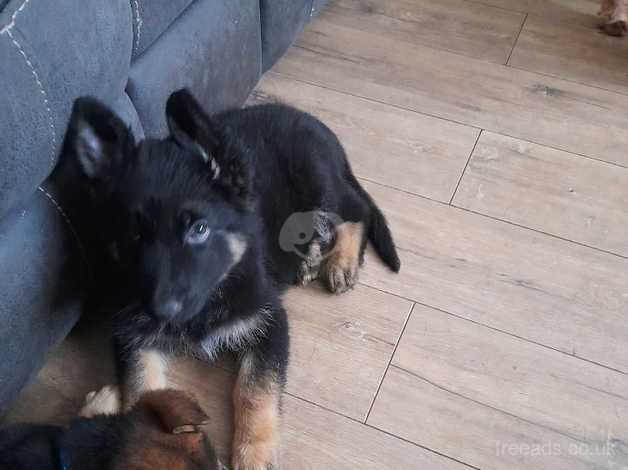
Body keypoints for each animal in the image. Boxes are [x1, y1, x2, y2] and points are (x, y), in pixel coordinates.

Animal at [62, 90, 398, 468]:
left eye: (199, 229)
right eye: (135, 235)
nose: (160, 311)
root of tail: (314, 123)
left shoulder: (269, 322)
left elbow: (254, 390)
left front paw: (254, 454)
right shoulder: (132, 336)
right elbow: (141, 388)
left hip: (317, 180)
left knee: (355, 211)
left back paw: (341, 261)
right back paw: (311, 258)